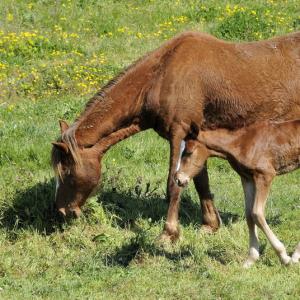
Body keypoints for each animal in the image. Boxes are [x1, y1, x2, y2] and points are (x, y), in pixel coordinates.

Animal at [51, 30, 300, 241]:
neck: (162, 75)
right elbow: (199, 180)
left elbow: (174, 184)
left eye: (66, 172)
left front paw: (168, 233)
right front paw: (210, 225)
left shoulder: (178, 133)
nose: (61, 210)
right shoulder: (194, 138)